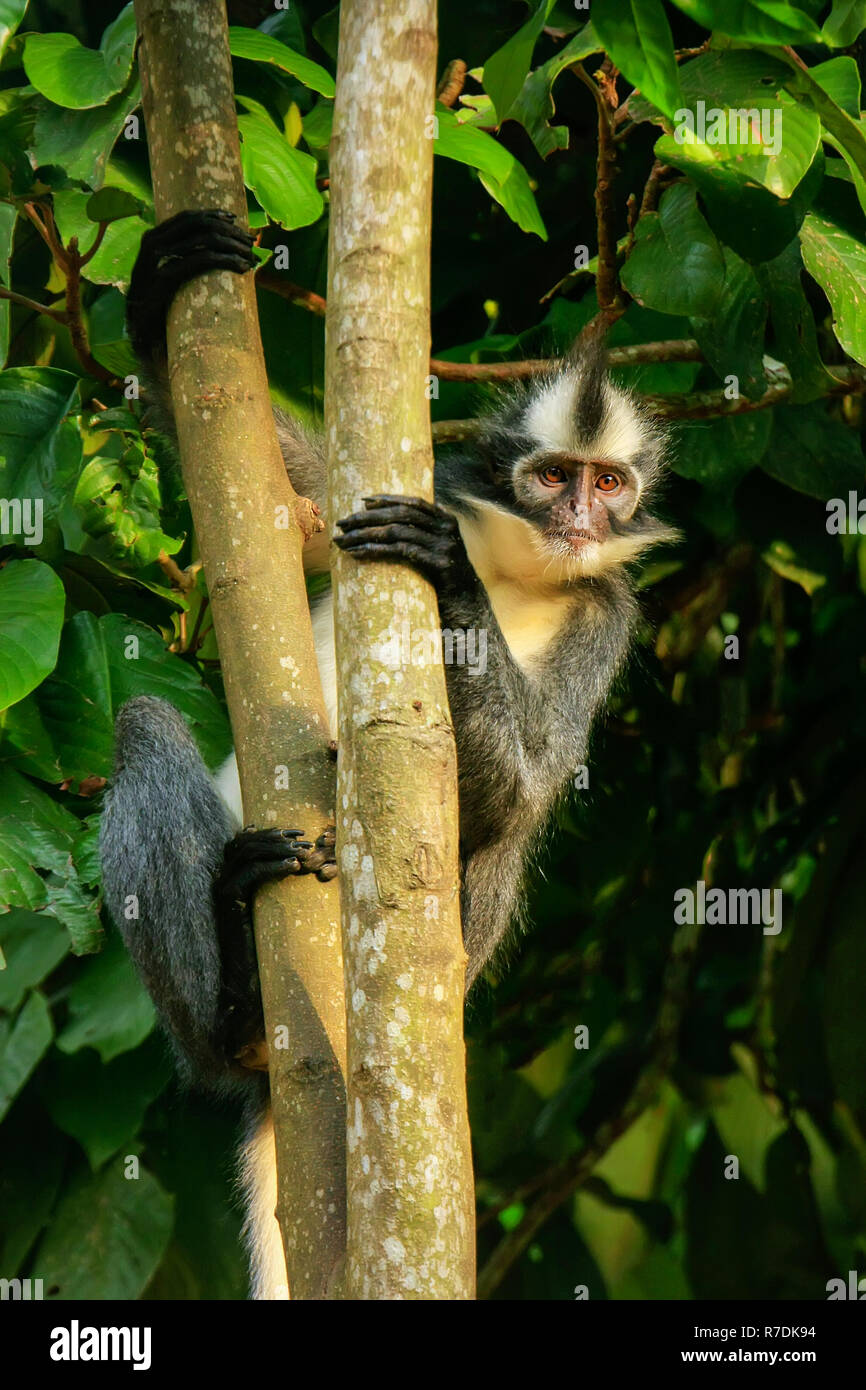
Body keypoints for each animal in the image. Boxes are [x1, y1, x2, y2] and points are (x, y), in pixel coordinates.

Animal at [99, 210, 678, 1298]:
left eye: (608, 484)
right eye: (552, 477)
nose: (580, 517)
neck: (521, 567)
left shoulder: (607, 614)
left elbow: (529, 784)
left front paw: (448, 576)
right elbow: (272, 501)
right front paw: (158, 285)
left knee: (509, 833)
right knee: (145, 723)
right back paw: (234, 998)